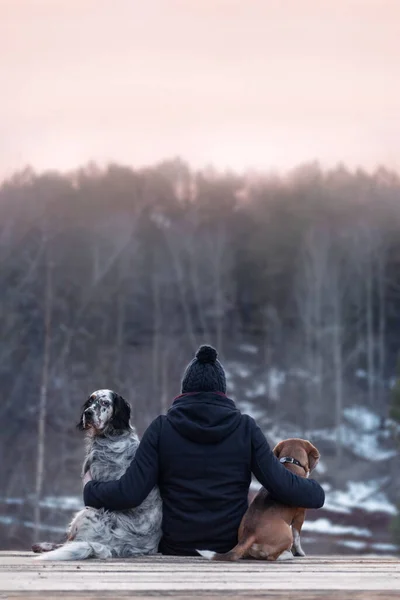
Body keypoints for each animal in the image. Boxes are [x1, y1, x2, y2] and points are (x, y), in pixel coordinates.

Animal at [31, 390, 162, 564]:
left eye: (105, 403)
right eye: (90, 401)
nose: (88, 413)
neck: (112, 434)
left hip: (88, 513)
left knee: (71, 542)